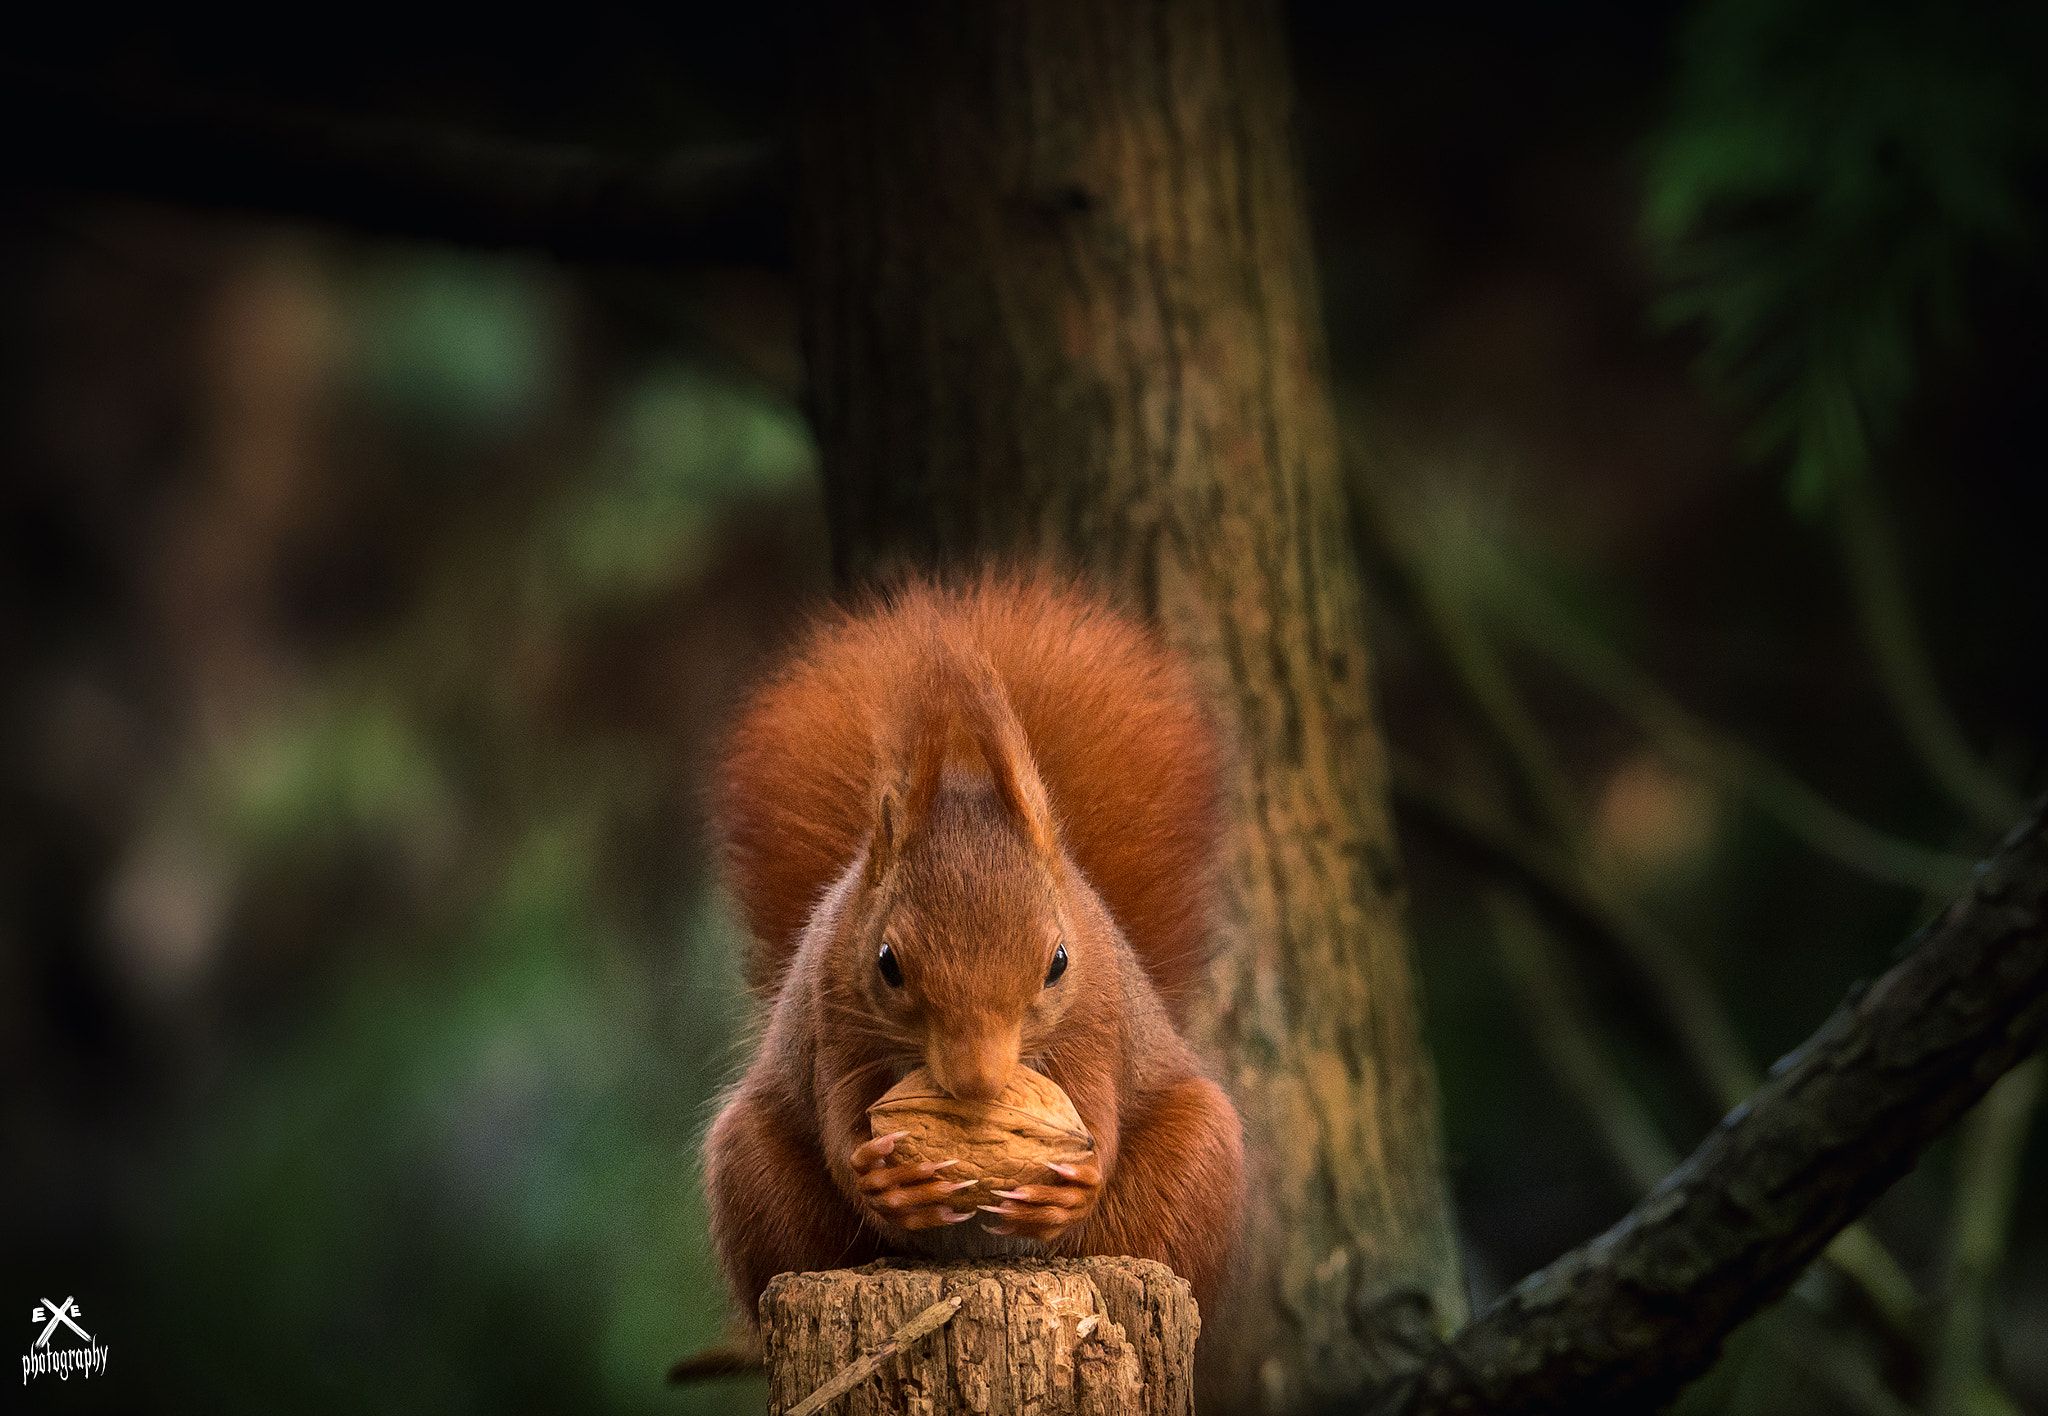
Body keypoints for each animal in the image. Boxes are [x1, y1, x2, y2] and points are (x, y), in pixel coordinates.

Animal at [702, 569, 1246, 1319]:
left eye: (1058, 963)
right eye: (888, 965)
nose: (977, 1082)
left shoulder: (1098, 1014)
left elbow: (1097, 1106)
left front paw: (1074, 1180)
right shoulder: (831, 1007)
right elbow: (839, 1110)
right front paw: (885, 1181)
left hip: (1195, 1163)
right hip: (753, 1175)